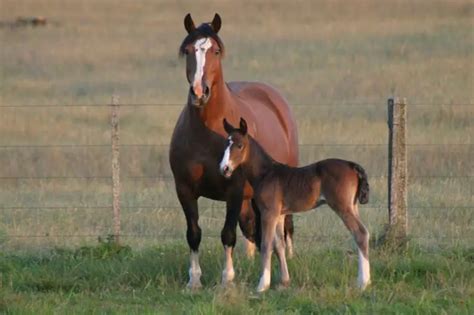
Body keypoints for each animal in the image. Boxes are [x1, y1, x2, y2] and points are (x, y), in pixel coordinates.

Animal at [220, 119, 372, 294]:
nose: (224, 169)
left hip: (342, 206)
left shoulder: (268, 213)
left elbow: (266, 245)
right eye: (226, 144)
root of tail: (352, 165)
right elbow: (279, 245)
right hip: (353, 206)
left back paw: (363, 282)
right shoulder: (279, 215)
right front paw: (285, 281)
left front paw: (262, 285)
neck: (265, 174)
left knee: (360, 233)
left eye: (239, 145)